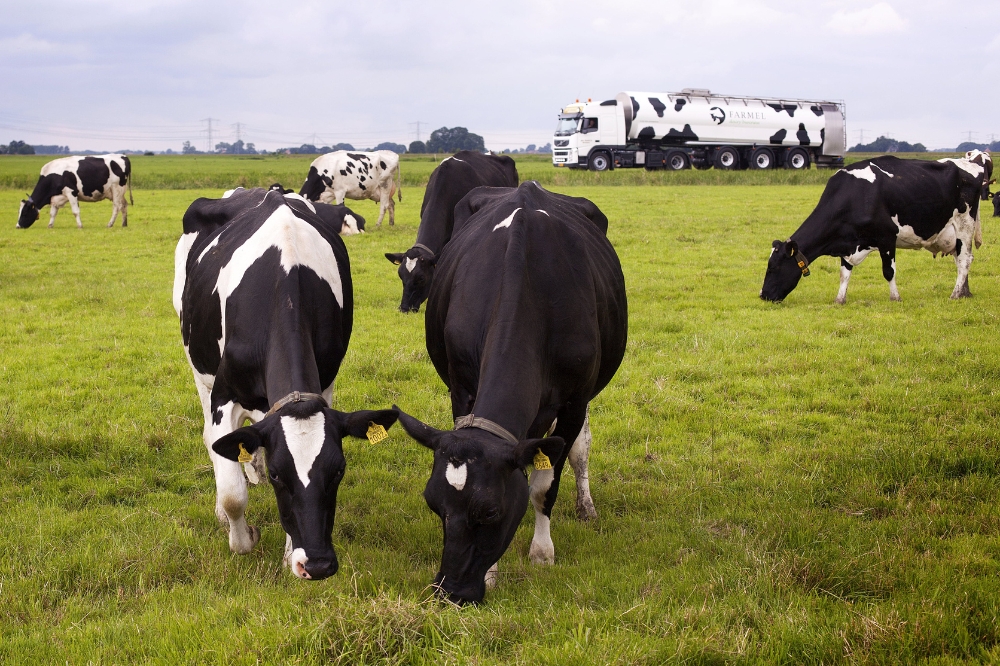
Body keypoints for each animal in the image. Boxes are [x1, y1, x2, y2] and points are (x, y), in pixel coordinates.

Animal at [176, 185, 398, 576]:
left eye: (339, 470)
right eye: (280, 475)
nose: (319, 563)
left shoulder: (324, 385)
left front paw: (289, 552)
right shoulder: (224, 394)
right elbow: (232, 493)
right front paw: (243, 536)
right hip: (197, 365)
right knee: (213, 441)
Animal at [390, 180, 624, 600]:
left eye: (491, 512)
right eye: (435, 507)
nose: (450, 592)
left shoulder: (574, 401)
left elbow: (545, 483)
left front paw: (542, 552)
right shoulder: (461, 389)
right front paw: (492, 573)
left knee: (580, 449)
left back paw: (586, 505)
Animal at [764, 149, 992, 302]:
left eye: (774, 267)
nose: (763, 295)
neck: (854, 195)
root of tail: (971, 163)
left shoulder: (887, 238)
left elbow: (888, 271)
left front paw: (895, 297)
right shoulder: (848, 242)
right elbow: (844, 273)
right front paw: (839, 299)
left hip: (964, 224)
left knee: (965, 260)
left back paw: (955, 294)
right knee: (960, 259)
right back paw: (964, 293)